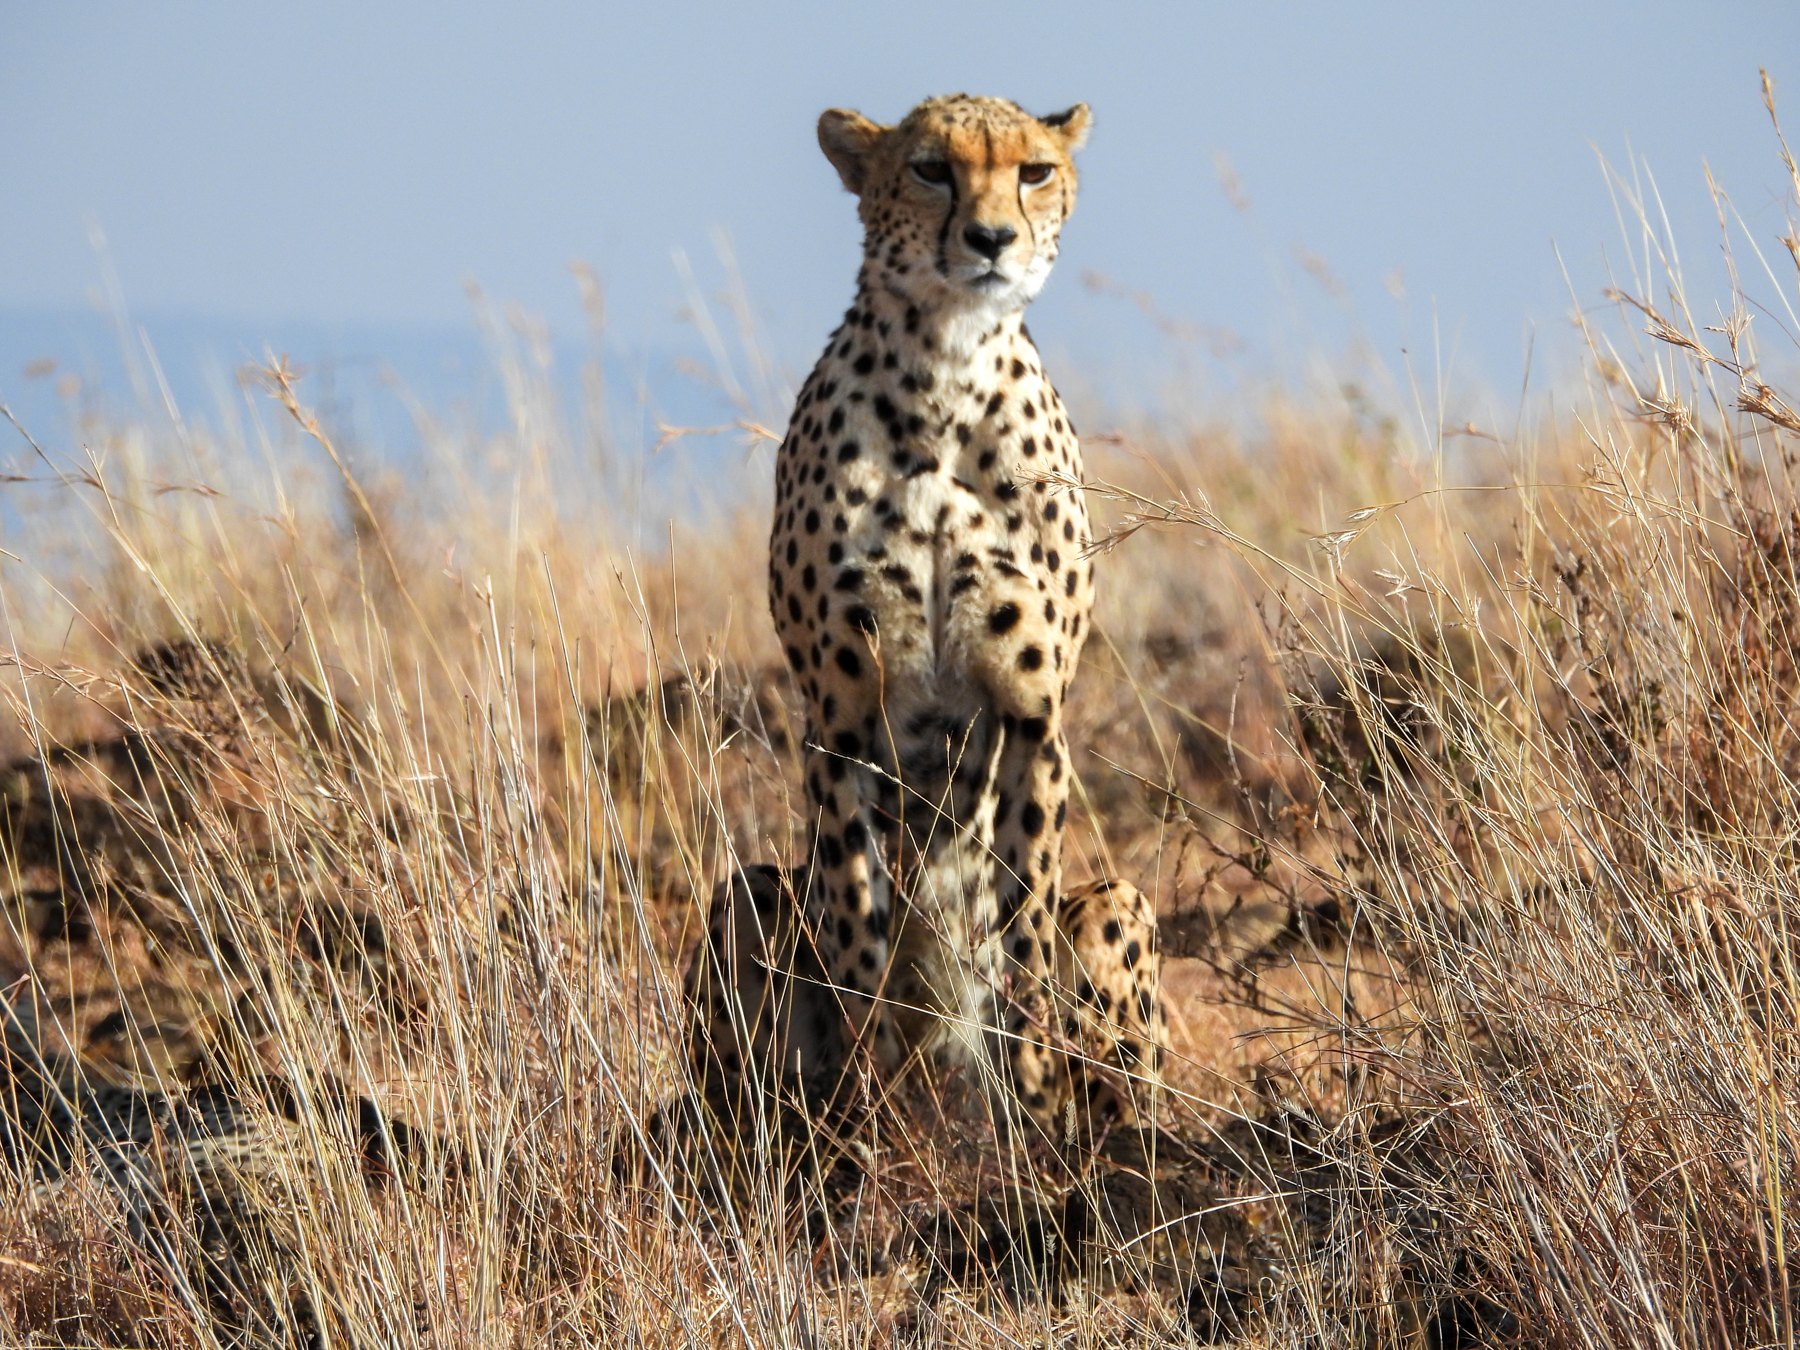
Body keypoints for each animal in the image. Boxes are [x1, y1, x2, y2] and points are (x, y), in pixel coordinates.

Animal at [689, 94, 1167, 1141]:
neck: (946, 376)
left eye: (1033, 170)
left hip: (1117, 901)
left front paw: (1029, 1116)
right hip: (749, 898)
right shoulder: (839, 715)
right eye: (930, 169)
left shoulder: (1034, 716)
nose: (991, 239)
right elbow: (858, 934)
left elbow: (1023, 933)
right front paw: (863, 1130)